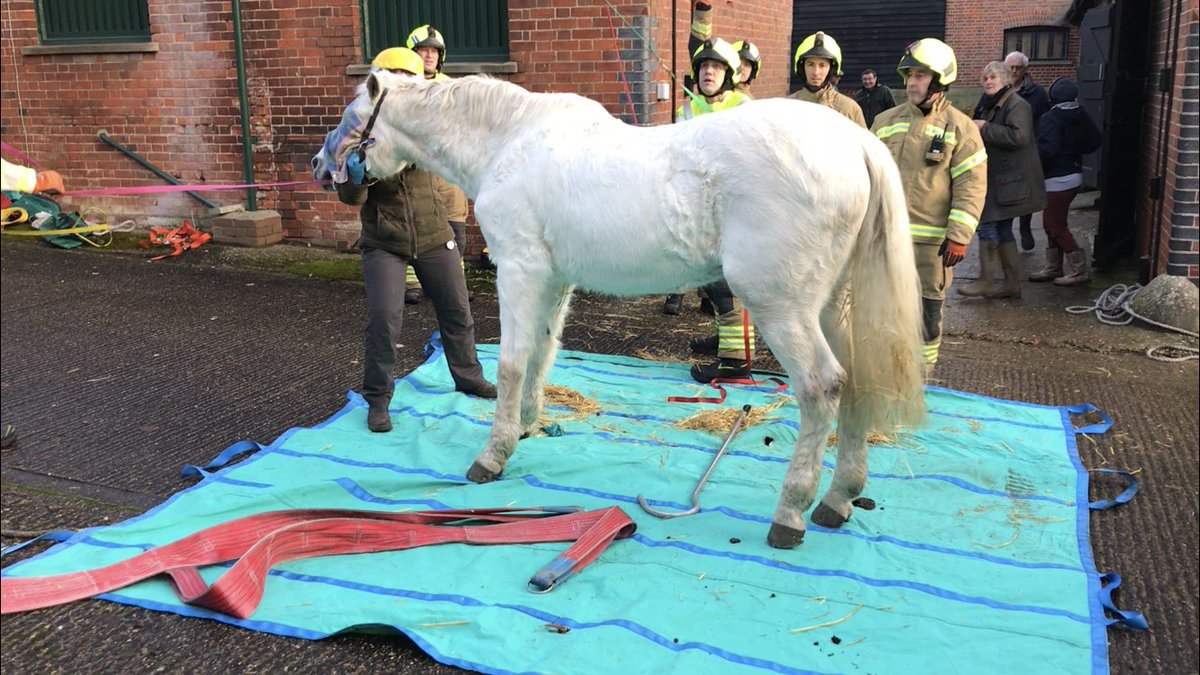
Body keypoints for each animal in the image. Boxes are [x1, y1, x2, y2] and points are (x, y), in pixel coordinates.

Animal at [335, 72, 926, 549]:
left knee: (822, 388)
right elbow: (542, 355)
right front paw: (525, 427)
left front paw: (492, 455)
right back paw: (838, 498)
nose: (325, 169)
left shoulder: (519, 272)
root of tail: (856, 142)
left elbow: (511, 363)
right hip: (831, 306)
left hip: (781, 308)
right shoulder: (554, 280)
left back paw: (791, 512)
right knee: (856, 382)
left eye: (352, 117)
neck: (509, 141)